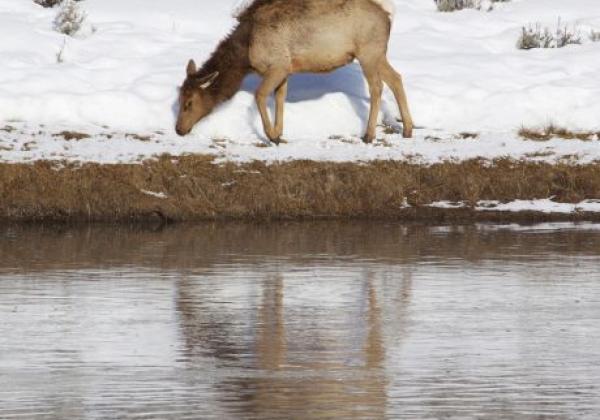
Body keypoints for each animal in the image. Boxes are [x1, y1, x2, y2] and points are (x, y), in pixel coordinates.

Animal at [176, 0, 414, 144]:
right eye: (179, 99)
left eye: (189, 102)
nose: (178, 129)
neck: (246, 56)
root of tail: (388, 14)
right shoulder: (286, 69)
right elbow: (280, 97)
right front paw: (280, 132)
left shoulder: (277, 65)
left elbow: (260, 95)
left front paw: (271, 135)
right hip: (377, 54)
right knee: (396, 78)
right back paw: (408, 129)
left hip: (368, 52)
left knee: (377, 87)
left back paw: (369, 134)